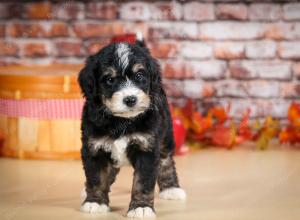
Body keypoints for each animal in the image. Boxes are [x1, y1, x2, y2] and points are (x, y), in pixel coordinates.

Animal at [78, 39, 185, 218]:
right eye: (110, 79)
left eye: (139, 75)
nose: (130, 99)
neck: (122, 121)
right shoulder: (94, 147)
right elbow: (96, 178)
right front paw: (95, 202)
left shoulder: (147, 148)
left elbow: (142, 182)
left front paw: (141, 207)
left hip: (166, 134)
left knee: (166, 160)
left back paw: (171, 189)